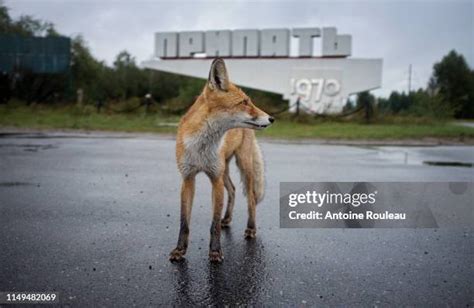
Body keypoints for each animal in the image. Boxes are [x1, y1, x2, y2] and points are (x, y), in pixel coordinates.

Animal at [170, 57, 274, 262]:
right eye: (244, 102)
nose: (272, 118)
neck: (201, 147)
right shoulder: (188, 178)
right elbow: (184, 222)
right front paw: (180, 250)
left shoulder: (215, 179)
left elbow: (214, 224)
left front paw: (215, 252)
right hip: (224, 169)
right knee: (232, 190)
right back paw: (227, 218)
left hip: (243, 165)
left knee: (250, 198)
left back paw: (251, 228)